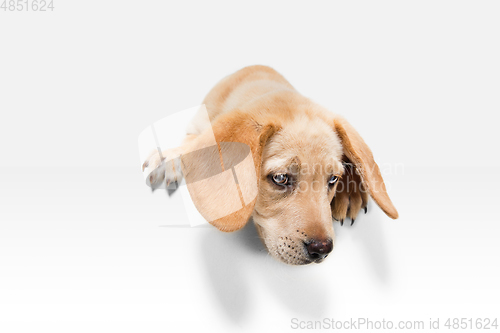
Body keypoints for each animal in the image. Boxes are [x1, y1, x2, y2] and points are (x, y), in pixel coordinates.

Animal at [142, 65, 398, 264]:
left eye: (333, 179)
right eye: (280, 178)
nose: (322, 251)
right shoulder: (197, 128)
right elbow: (187, 147)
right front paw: (167, 158)